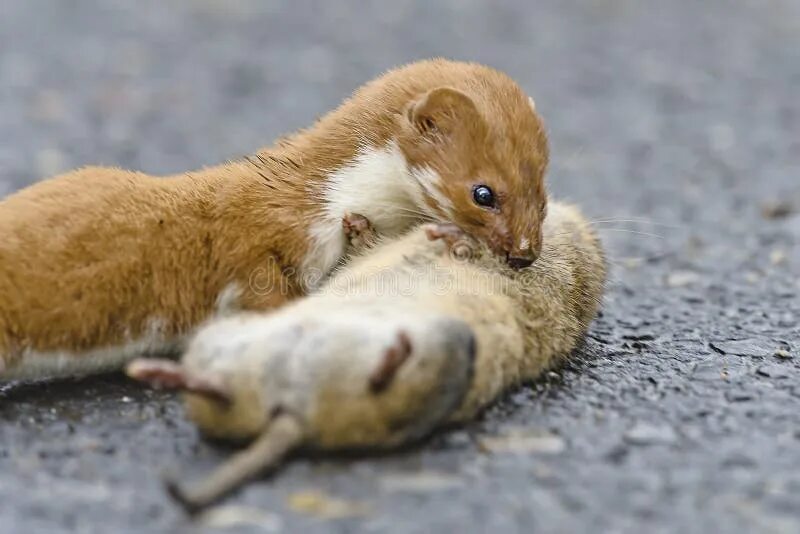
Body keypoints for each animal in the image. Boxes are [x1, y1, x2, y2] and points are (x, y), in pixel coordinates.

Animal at [128, 200, 604, 510]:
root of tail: (295, 413)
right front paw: (359, 225)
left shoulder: (536, 277)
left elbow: (485, 256)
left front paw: (455, 238)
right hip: (225, 342)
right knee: (214, 387)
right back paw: (161, 373)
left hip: (449, 349)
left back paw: (394, 355)